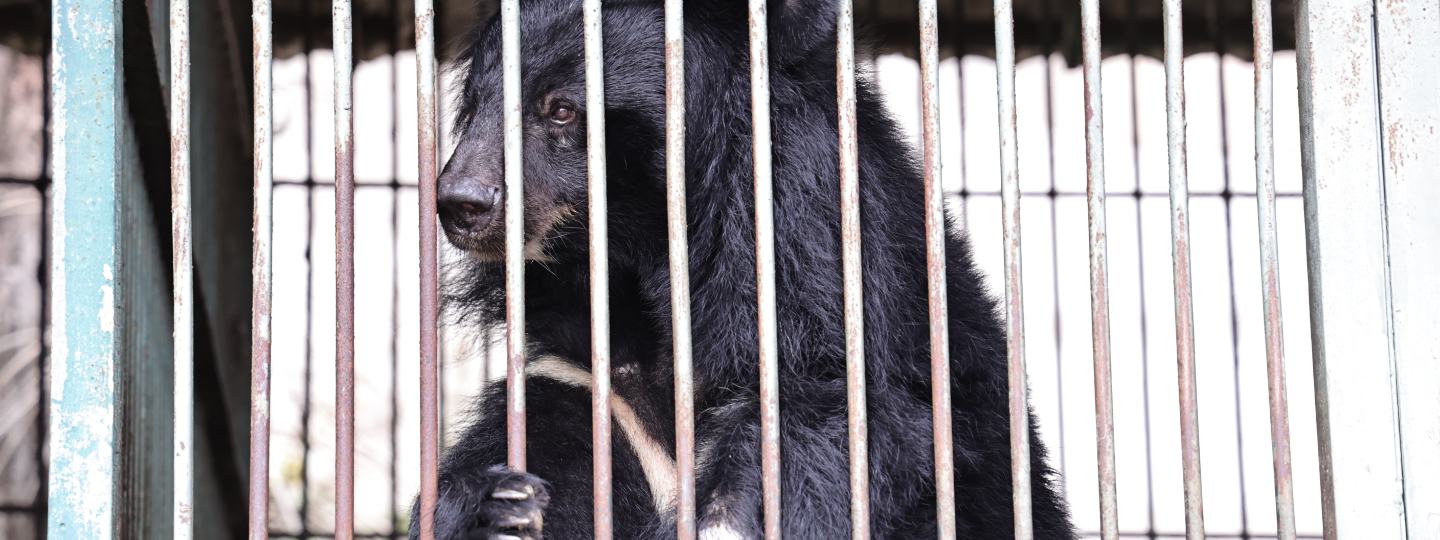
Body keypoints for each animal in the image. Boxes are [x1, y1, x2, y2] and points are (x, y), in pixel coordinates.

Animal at [420, 0, 1075, 538]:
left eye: (560, 110)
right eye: (474, 106)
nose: (461, 202)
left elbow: (818, 424)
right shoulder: (588, 390)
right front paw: (498, 509)